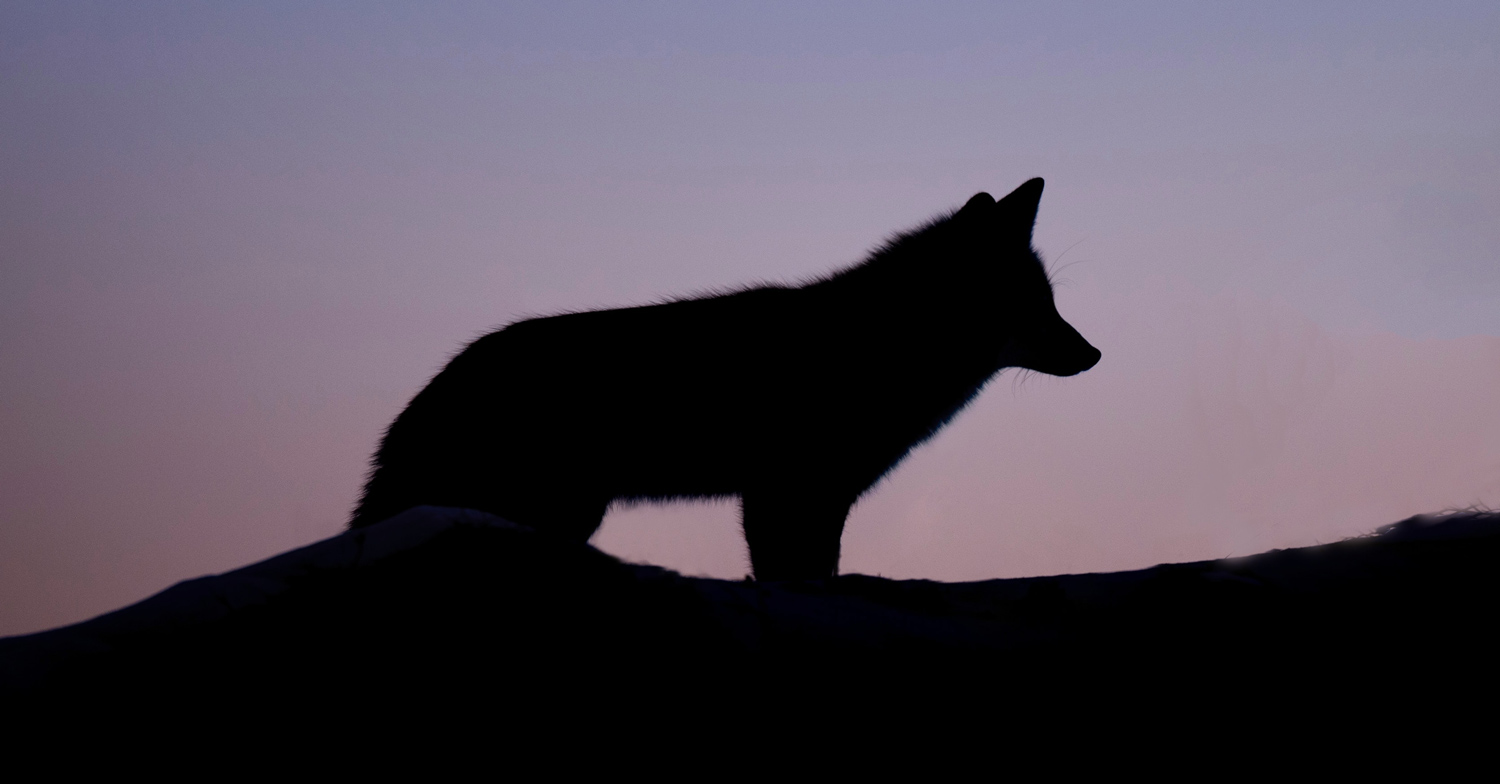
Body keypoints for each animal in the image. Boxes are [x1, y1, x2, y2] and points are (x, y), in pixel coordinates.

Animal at [352, 178, 1100, 580]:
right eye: (1035, 306)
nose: (1094, 355)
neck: (880, 344)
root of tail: (433, 388)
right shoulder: (784, 493)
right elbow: (794, 576)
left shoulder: (819, 498)